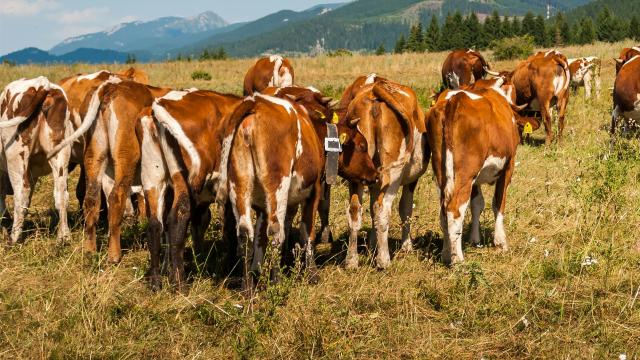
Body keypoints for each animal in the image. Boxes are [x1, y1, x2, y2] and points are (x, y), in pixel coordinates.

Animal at [0, 76, 73, 245]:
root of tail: (41, 84)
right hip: (61, 154)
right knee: (61, 195)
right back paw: (63, 237)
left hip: (15, 156)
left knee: (21, 193)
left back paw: (14, 239)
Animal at [50, 80, 170, 262]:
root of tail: (110, 87)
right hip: (126, 156)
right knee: (116, 197)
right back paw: (114, 254)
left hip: (94, 155)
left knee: (91, 199)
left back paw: (90, 250)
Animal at [342, 79, 428, 270]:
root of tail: (375, 89)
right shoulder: (411, 180)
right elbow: (406, 208)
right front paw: (406, 246)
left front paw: (373, 245)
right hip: (393, 173)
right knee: (383, 209)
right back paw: (383, 260)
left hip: (356, 172)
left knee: (355, 211)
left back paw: (351, 261)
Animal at [428, 78, 524, 264]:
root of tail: (454, 99)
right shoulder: (508, 166)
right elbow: (498, 203)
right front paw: (500, 242)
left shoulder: (476, 180)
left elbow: (477, 204)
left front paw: (475, 239)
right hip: (465, 174)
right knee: (454, 210)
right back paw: (458, 259)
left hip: (442, 172)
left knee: (444, 211)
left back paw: (446, 253)